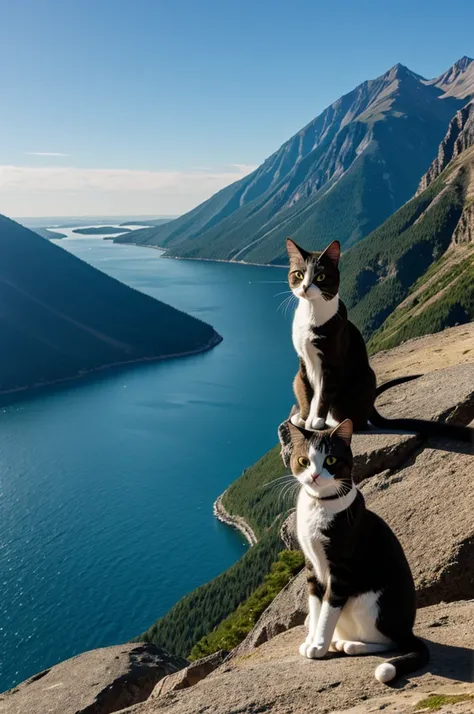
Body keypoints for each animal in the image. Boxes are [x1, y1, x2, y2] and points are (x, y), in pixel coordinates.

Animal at [278, 418, 430, 684]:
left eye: (330, 460)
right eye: (304, 461)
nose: (314, 475)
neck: (319, 506)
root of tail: (408, 630)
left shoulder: (341, 568)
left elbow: (329, 607)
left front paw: (318, 645)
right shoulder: (310, 564)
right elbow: (315, 604)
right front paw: (312, 639)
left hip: (371, 607)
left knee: (391, 643)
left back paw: (351, 646)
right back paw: (341, 642)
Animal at [286, 236, 474, 442]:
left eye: (320, 277)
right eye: (299, 274)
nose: (304, 287)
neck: (311, 313)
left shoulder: (332, 361)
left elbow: (324, 392)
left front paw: (316, 421)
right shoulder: (303, 360)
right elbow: (306, 389)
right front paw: (304, 419)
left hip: (362, 380)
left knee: (356, 420)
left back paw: (335, 423)